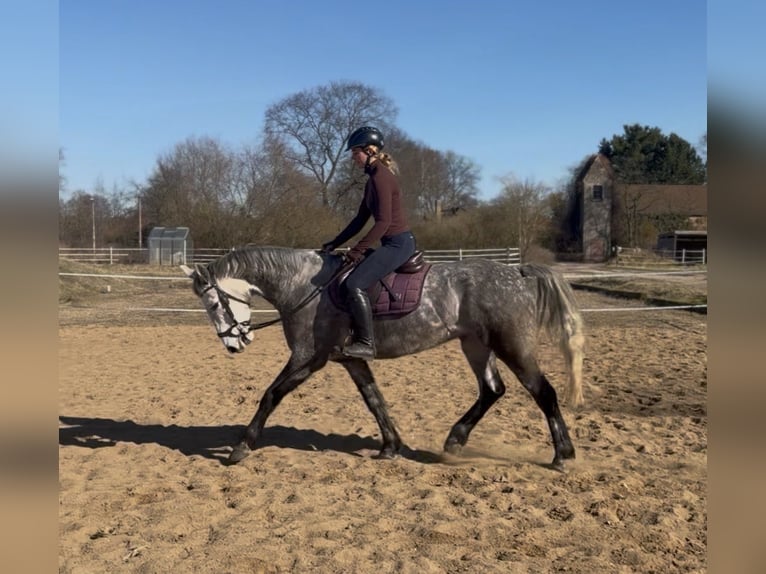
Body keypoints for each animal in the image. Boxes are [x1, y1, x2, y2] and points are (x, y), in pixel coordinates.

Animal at [180, 245, 585, 470]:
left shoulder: (309, 357)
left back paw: (563, 455)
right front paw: (391, 447)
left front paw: (242, 447)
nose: (233, 346)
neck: (304, 285)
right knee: (492, 390)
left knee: (543, 393)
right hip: (475, 345)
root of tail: (517, 271)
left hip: (513, 346)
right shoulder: (351, 359)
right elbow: (375, 400)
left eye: (213, 303)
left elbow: (270, 395)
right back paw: (455, 440)